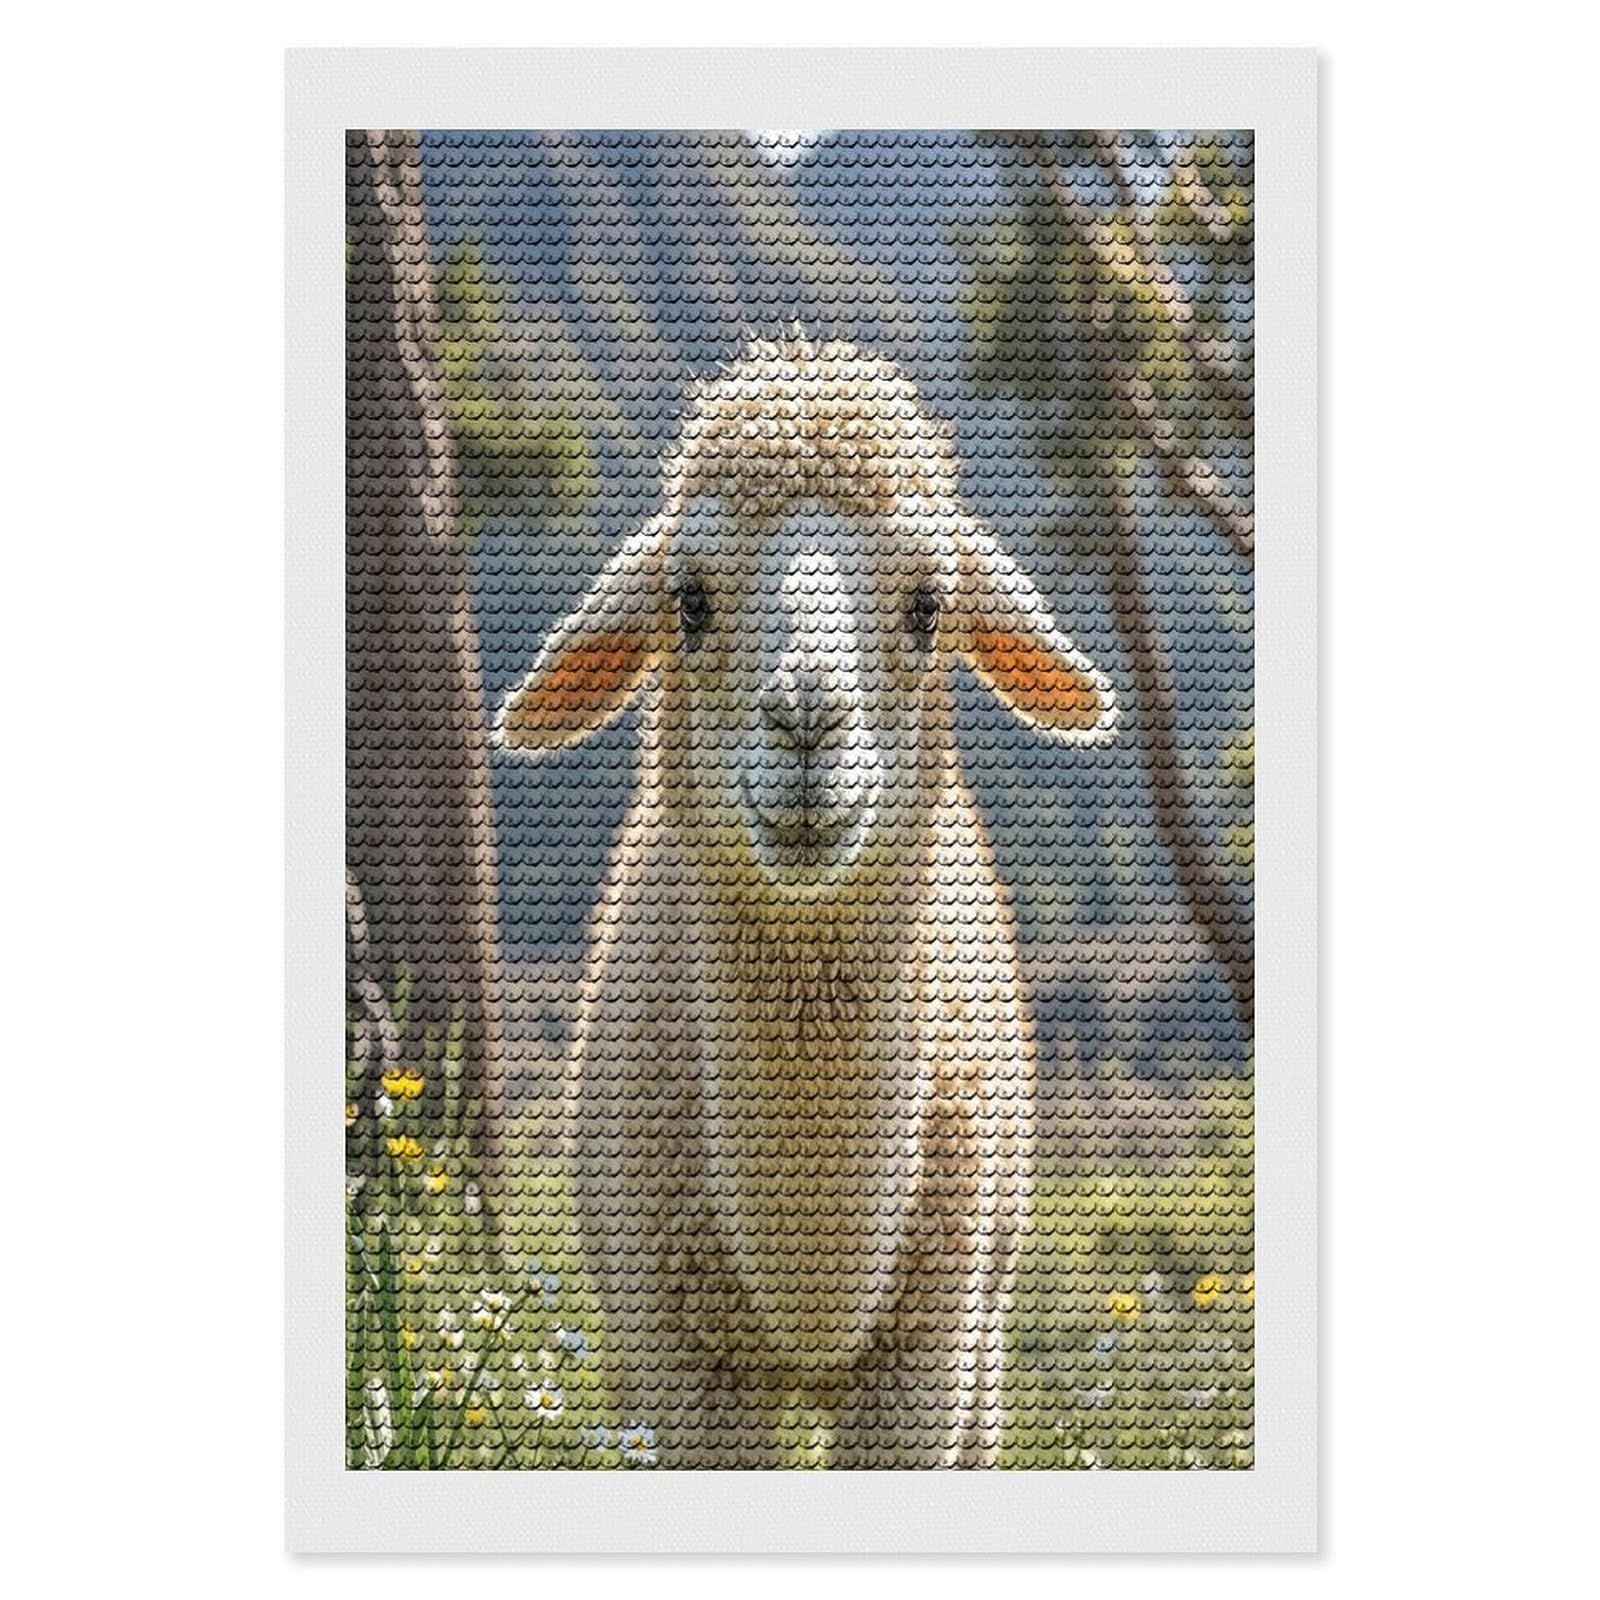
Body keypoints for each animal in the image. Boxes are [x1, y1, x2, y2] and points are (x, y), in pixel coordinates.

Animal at [495, 337, 1118, 1468]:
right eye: (689, 601)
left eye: (928, 606)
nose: (805, 725)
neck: (811, 1284)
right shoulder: (683, 1361)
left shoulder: (925, 1352)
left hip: (987, 1332)